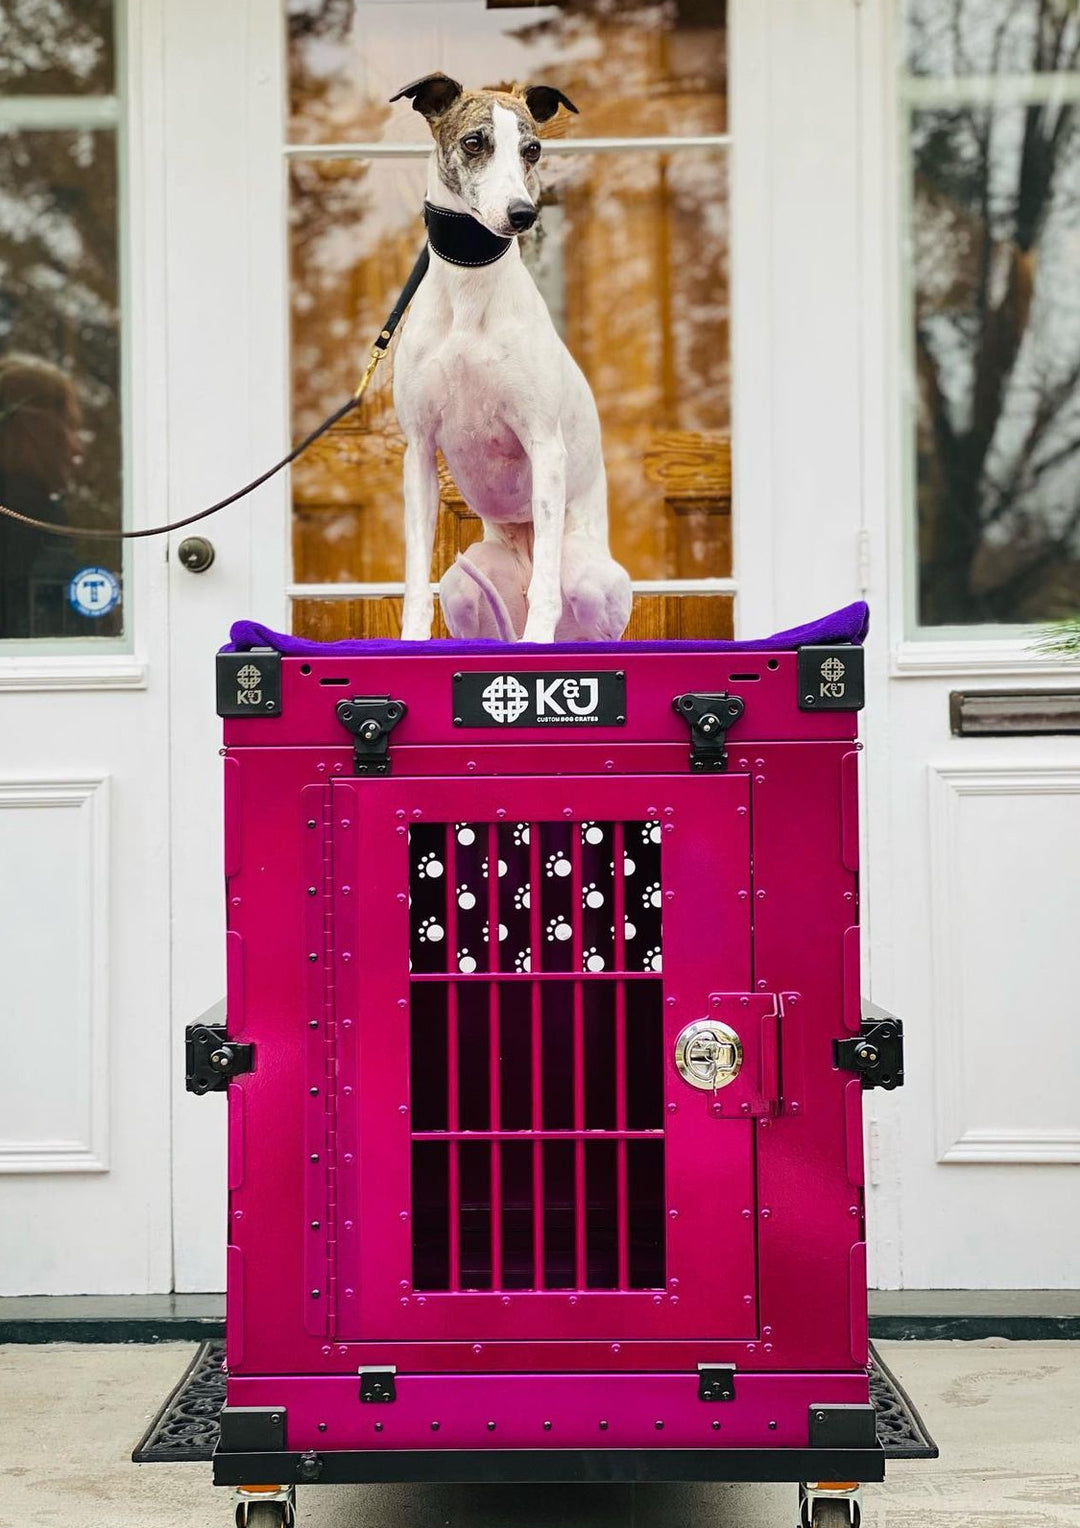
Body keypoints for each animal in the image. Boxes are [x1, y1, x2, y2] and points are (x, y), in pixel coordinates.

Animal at [391, 70, 632, 644]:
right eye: (474, 142)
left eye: (533, 149)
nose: (523, 214)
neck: (468, 292)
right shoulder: (419, 452)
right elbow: (415, 579)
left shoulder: (545, 445)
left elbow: (545, 587)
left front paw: (538, 643)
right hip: (463, 584)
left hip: (588, 577)